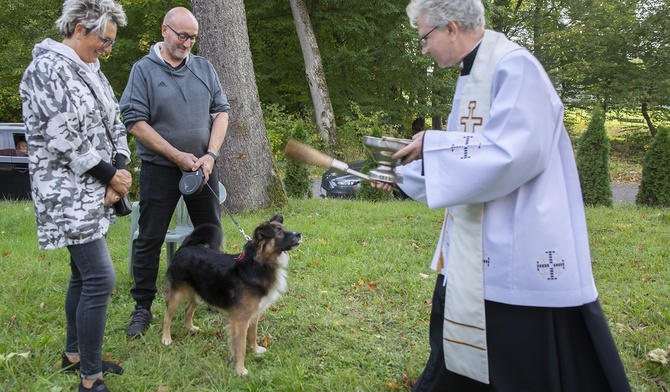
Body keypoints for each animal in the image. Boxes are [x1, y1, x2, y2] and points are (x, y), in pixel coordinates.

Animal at [161, 216, 300, 376]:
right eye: (278, 232)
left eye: (284, 228)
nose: (299, 234)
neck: (257, 265)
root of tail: (186, 246)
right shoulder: (241, 319)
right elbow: (240, 346)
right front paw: (240, 369)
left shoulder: (255, 313)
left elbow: (252, 335)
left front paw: (256, 350)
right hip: (177, 295)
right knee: (167, 316)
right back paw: (166, 338)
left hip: (201, 293)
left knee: (188, 309)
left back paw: (190, 327)